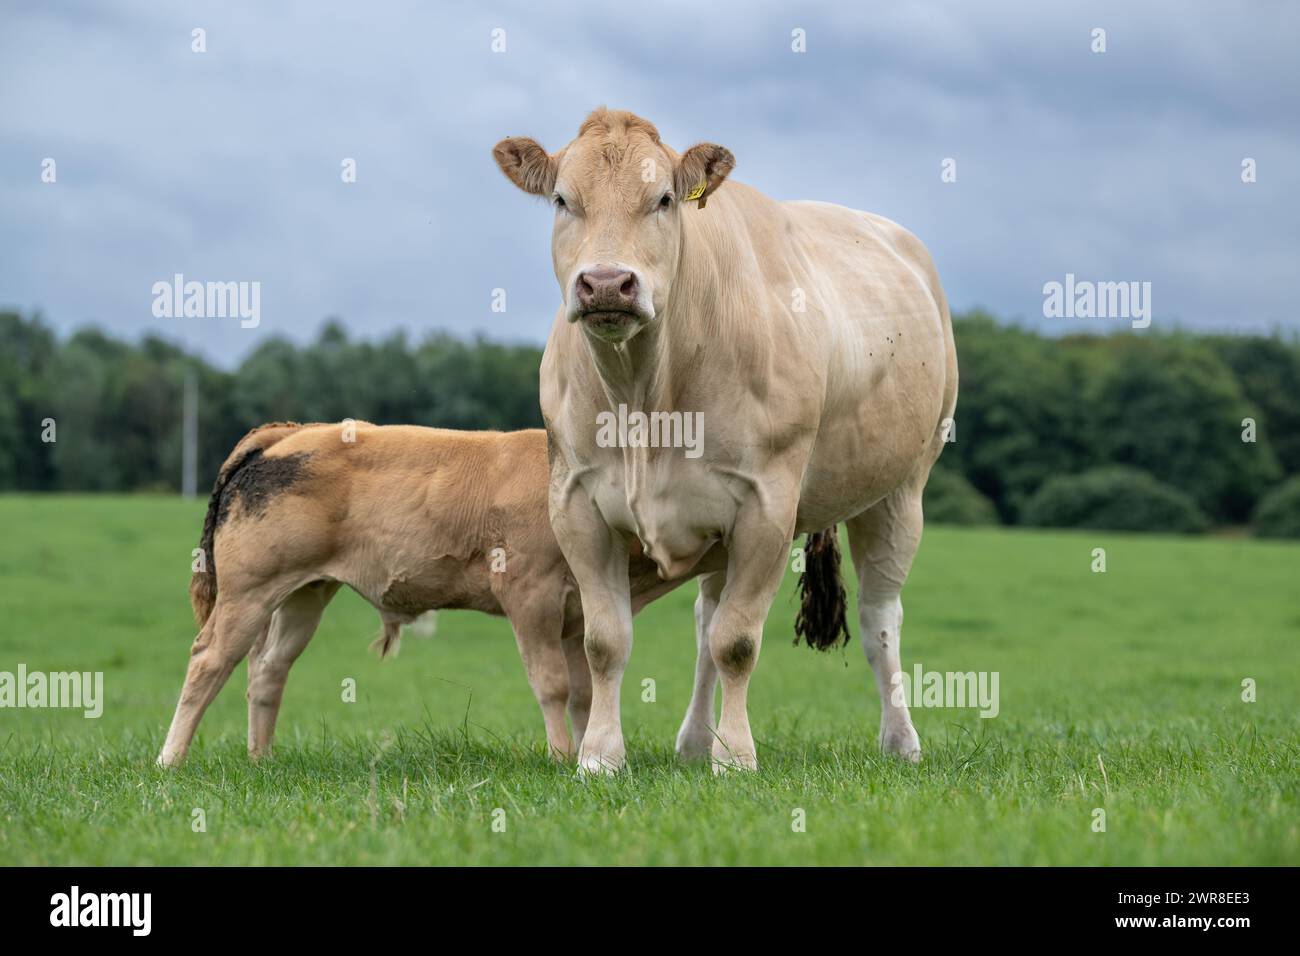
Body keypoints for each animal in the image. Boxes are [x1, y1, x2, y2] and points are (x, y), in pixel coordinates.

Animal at [157, 422, 709, 768]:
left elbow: (584, 693)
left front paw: (587, 752)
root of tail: (291, 432)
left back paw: (261, 758)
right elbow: (552, 685)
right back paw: (170, 761)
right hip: (248, 591)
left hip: (304, 592)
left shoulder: (576, 614)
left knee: (268, 668)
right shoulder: (530, 593)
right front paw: (560, 758)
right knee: (208, 660)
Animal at [494, 108, 958, 773]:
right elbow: (607, 641)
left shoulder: (766, 506)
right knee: (705, 617)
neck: (645, 395)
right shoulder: (577, 503)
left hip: (901, 491)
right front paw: (601, 756)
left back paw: (901, 741)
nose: (606, 283)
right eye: (562, 199)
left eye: (663, 199)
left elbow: (737, 642)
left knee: (879, 621)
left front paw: (735, 756)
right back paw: (693, 740)